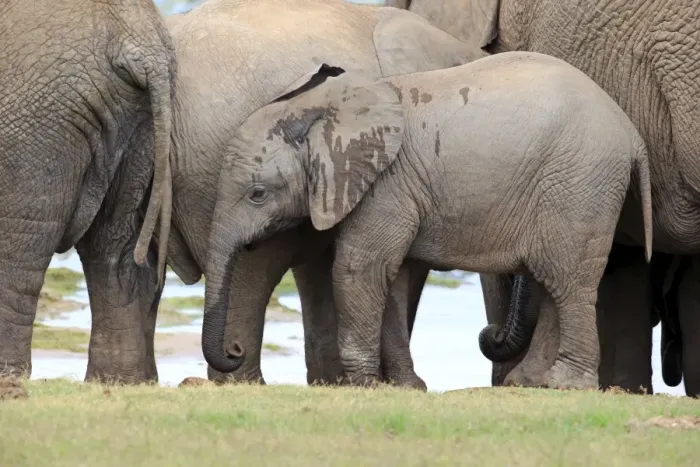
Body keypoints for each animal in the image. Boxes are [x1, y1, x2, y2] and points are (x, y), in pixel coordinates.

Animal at [0, 0, 175, 381]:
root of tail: (137, 37)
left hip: (37, 118)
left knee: (20, 241)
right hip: (138, 125)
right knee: (113, 249)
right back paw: (118, 382)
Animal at [200, 52, 653, 390]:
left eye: (257, 195)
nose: (235, 352)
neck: (323, 108)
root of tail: (631, 131)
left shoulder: (388, 184)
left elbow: (360, 267)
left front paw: (364, 385)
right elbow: (393, 277)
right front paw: (406, 387)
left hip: (580, 182)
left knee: (568, 280)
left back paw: (565, 384)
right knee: (552, 280)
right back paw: (533, 382)